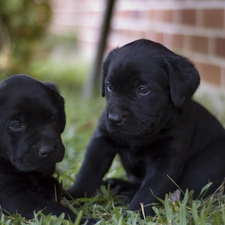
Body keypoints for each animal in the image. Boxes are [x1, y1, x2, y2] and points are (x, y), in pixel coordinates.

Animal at [0, 74, 96, 224]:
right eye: (16, 124)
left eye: (53, 118)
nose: (49, 150)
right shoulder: (14, 196)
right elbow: (54, 208)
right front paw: (87, 220)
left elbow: (56, 186)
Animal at [67, 39, 225, 217]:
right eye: (109, 87)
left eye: (143, 90)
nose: (114, 119)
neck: (140, 136)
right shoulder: (101, 140)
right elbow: (88, 172)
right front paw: (71, 196)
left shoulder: (166, 161)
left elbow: (149, 191)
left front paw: (135, 214)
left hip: (209, 163)